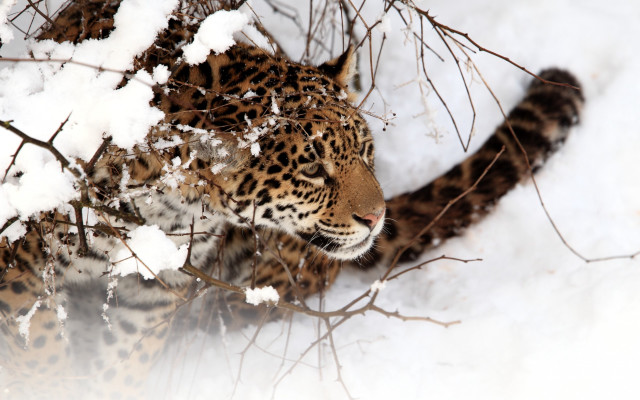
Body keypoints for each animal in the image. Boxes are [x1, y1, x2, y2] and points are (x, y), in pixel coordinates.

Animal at [0, 1, 583, 399]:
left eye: (365, 152)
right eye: (312, 170)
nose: (376, 217)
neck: (165, 202)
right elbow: (37, 355)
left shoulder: (155, 287)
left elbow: (122, 365)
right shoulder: (20, 266)